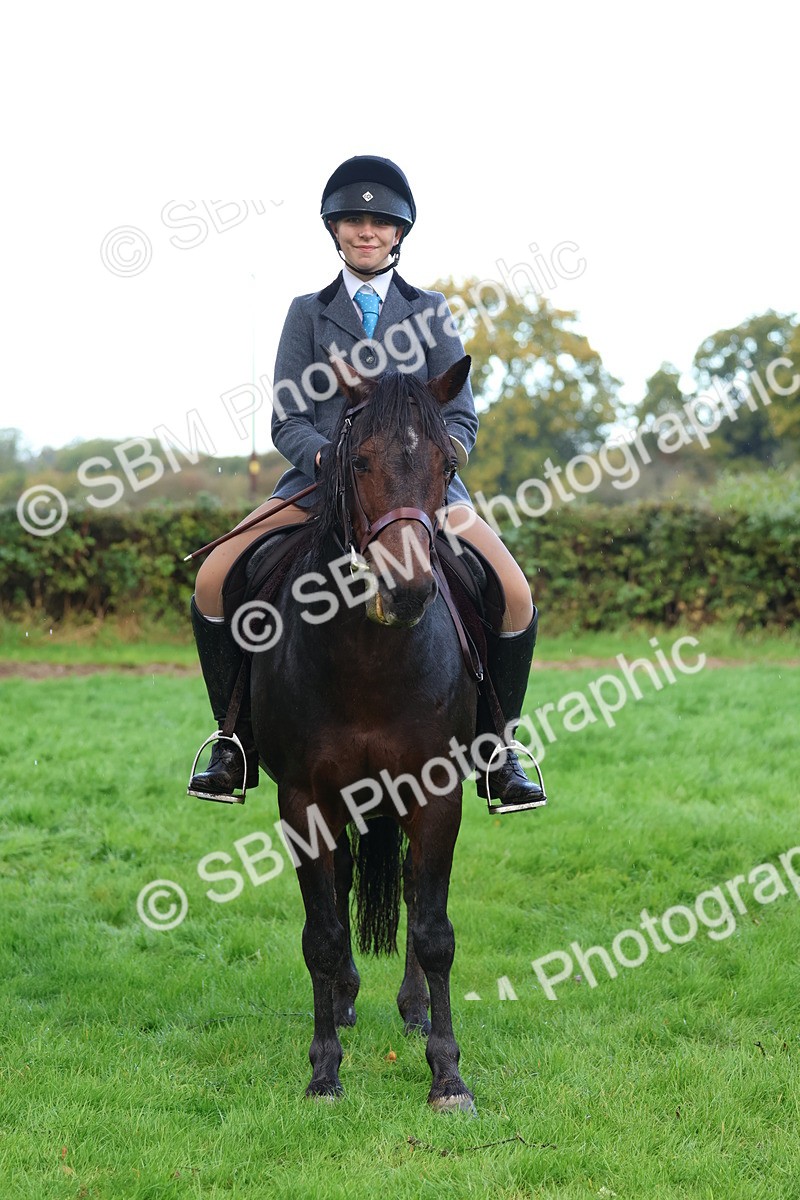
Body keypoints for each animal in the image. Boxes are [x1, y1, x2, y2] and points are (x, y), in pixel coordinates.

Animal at [250, 356, 478, 1110]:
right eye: (359, 461)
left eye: (447, 462)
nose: (405, 591)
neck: (372, 655)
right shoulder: (302, 800)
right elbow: (321, 934)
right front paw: (324, 1070)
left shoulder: (438, 793)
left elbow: (434, 931)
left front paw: (447, 1077)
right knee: (347, 882)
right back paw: (348, 999)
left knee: (406, 886)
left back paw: (411, 1009)